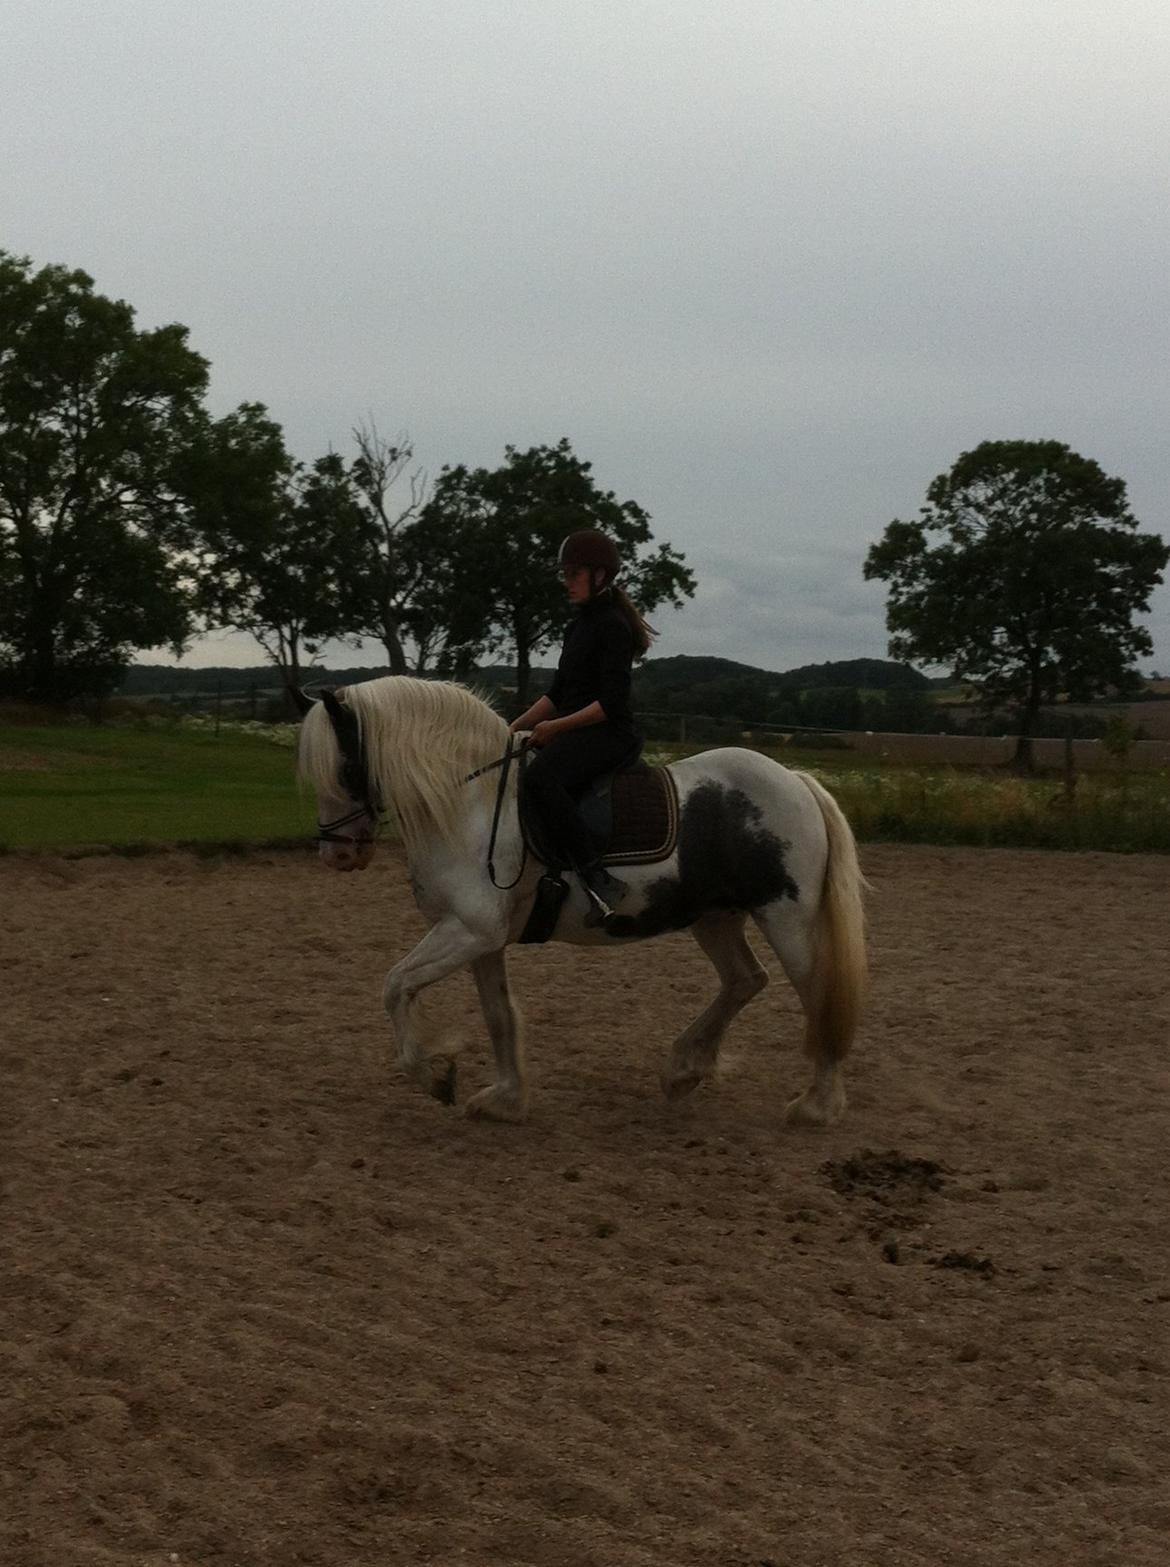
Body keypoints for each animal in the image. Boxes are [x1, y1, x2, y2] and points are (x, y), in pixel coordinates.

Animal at [297, 673, 870, 1128]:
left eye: (344, 767)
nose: (336, 853)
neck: (470, 803)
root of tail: (796, 782)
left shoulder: (469, 930)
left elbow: (395, 985)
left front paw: (433, 1077)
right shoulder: (480, 938)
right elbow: (497, 1014)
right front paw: (505, 1100)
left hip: (786, 917)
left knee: (815, 995)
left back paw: (816, 1106)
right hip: (716, 918)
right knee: (744, 980)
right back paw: (684, 1070)